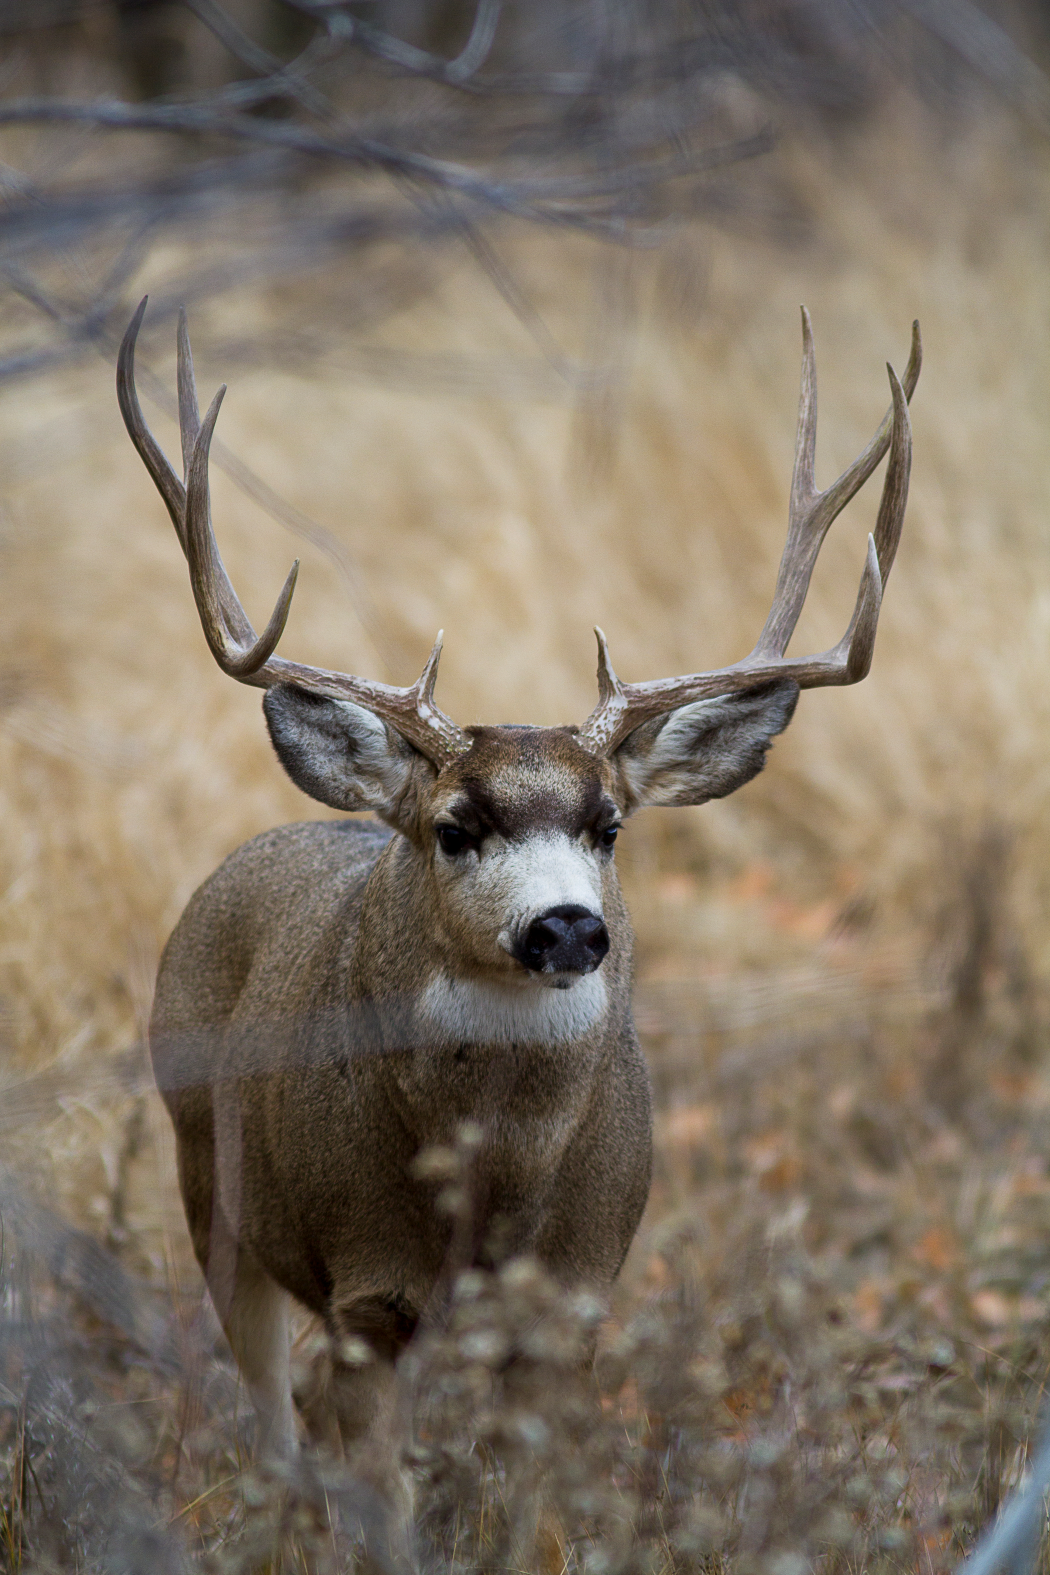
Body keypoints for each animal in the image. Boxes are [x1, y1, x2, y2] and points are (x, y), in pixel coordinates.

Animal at [117, 298, 917, 1544]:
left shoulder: (576, 1291)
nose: (566, 929)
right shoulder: (368, 1284)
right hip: (208, 1169)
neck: (490, 1189)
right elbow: (384, 1504)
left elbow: (535, 1509)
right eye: (456, 826)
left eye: (609, 825)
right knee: (272, 1408)